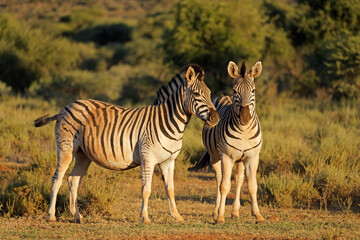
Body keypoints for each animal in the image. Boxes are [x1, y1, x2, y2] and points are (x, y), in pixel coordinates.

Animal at [34, 64, 219, 224]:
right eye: (196, 94)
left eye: (210, 94)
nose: (215, 118)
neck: (170, 123)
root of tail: (65, 107)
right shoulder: (147, 158)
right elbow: (146, 189)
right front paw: (145, 217)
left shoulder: (169, 160)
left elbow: (170, 190)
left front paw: (177, 216)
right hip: (66, 148)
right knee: (57, 179)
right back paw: (51, 216)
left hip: (83, 154)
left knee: (73, 180)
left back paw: (77, 216)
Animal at [191, 60, 264, 223]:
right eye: (235, 91)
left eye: (253, 91)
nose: (245, 117)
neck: (244, 131)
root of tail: (224, 96)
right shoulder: (227, 157)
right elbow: (224, 186)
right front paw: (220, 216)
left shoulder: (252, 157)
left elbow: (252, 186)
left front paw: (257, 214)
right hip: (215, 157)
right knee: (219, 181)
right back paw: (216, 211)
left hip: (240, 160)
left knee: (238, 180)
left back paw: (235, 212)